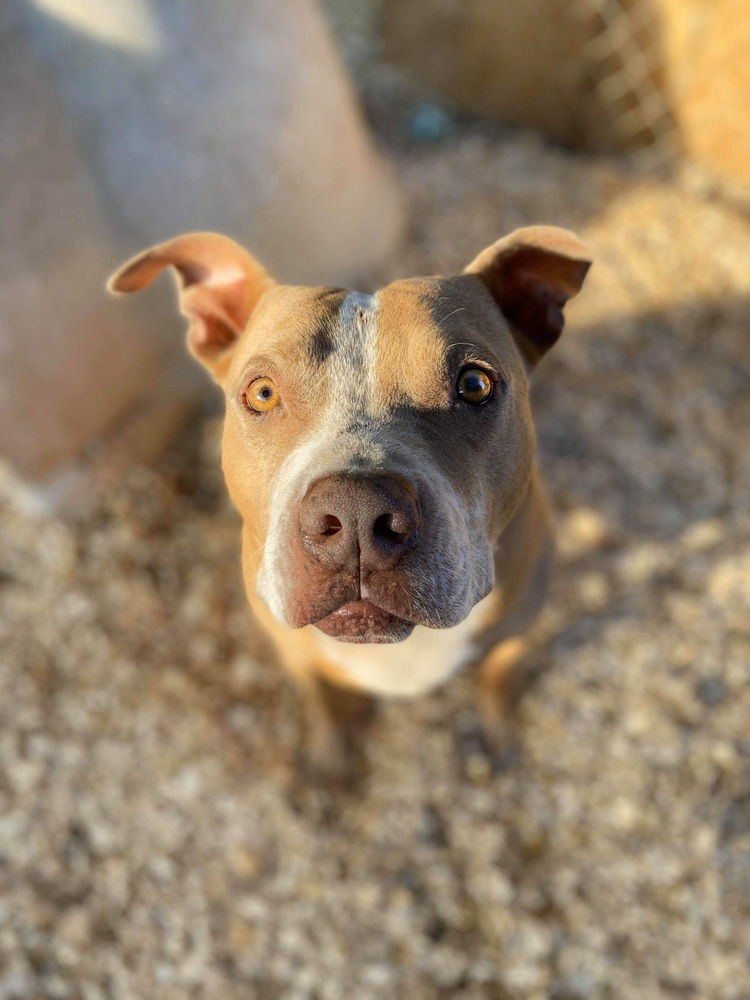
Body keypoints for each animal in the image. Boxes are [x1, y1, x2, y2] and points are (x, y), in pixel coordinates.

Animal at [108, 229, 592, 780]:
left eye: (474, 384)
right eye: (262, 393)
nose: (356, 513)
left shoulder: (519, 628)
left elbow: (496, 675)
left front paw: (499, 734)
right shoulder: (292, 651)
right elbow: (320, 700)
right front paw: (330, 757)